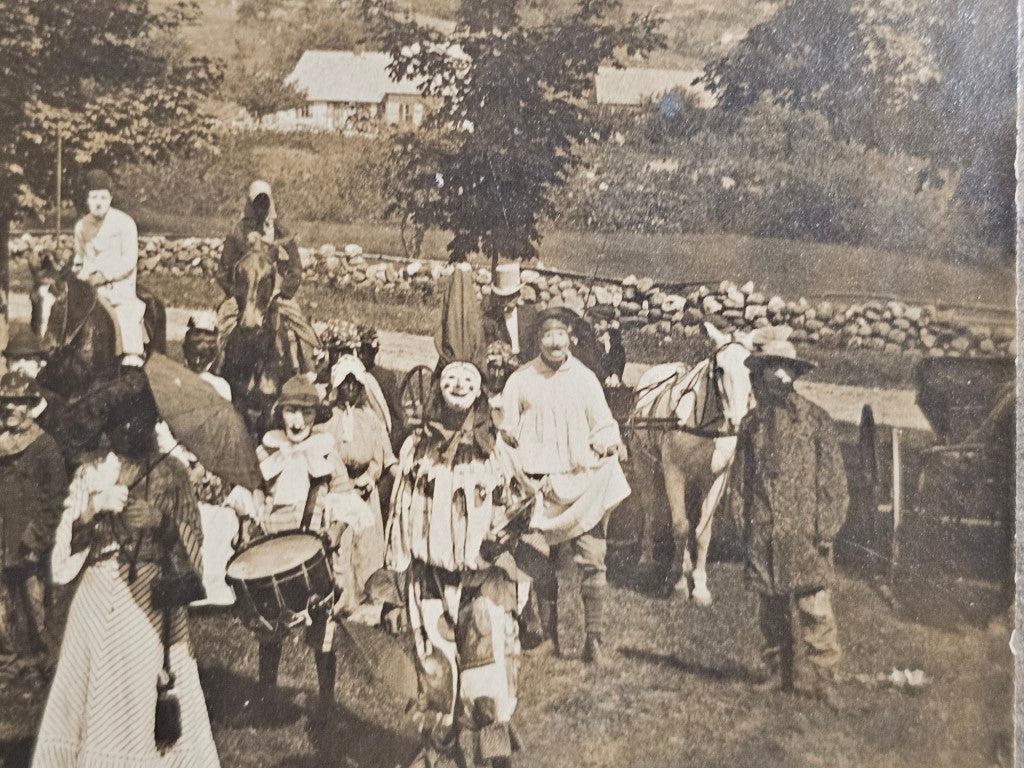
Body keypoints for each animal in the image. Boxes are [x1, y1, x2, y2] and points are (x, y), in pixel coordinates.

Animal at [622, 321, 761, 606]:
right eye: (720, 369)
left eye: (751, 371)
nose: (738, 421)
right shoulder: (674, 473)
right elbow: (680, 526)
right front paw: (677, 584)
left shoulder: (717, 478)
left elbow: (701, 531)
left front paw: (699, 586)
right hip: (645, 466)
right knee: (651, 511)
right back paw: (647, 559)